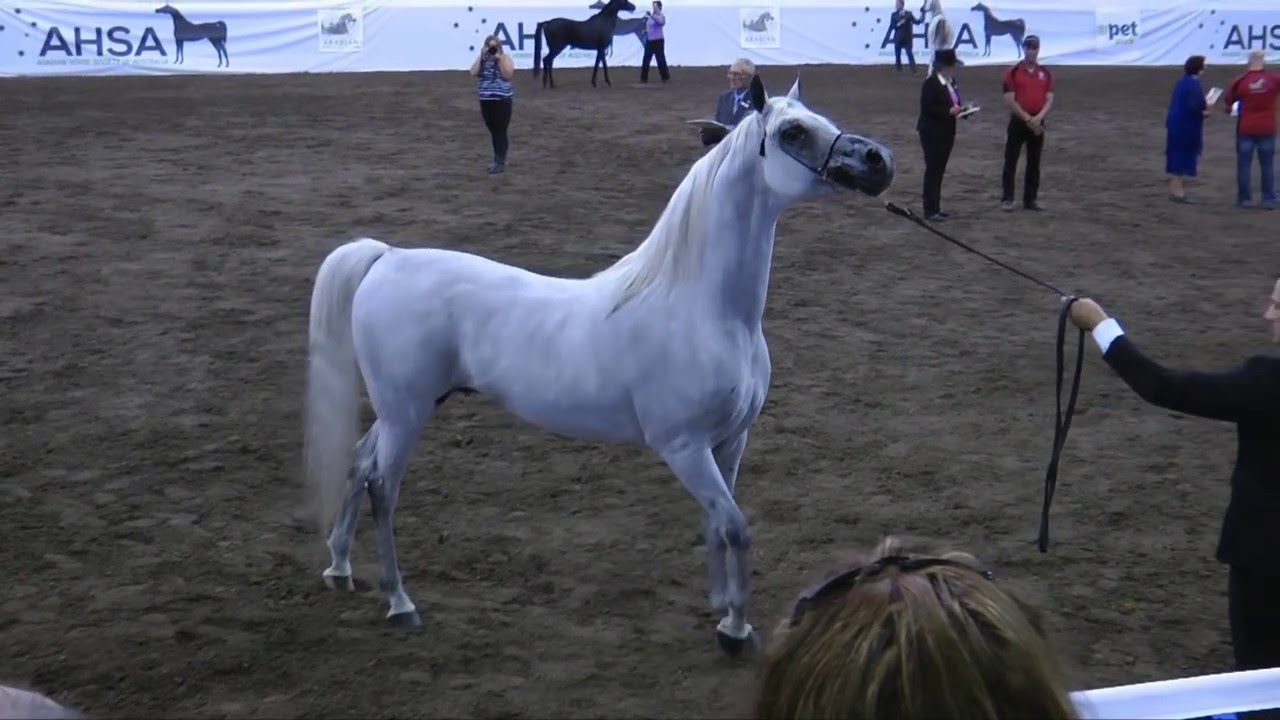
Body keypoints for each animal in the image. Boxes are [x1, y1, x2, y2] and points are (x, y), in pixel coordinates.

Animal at [303, 73, 895, 656]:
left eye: (824, 120)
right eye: (794, 132)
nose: (879, 160)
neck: (703, 308)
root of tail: (388, 257)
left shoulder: (730, 442)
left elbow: (716, 522)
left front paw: (719, 603)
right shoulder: (684, 448)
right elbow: (734, 526)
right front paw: (735, 630)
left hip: (402, 408)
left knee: (359, 464)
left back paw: (339, 566)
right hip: (406, 413)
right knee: (383, 488)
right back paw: (400, 602)